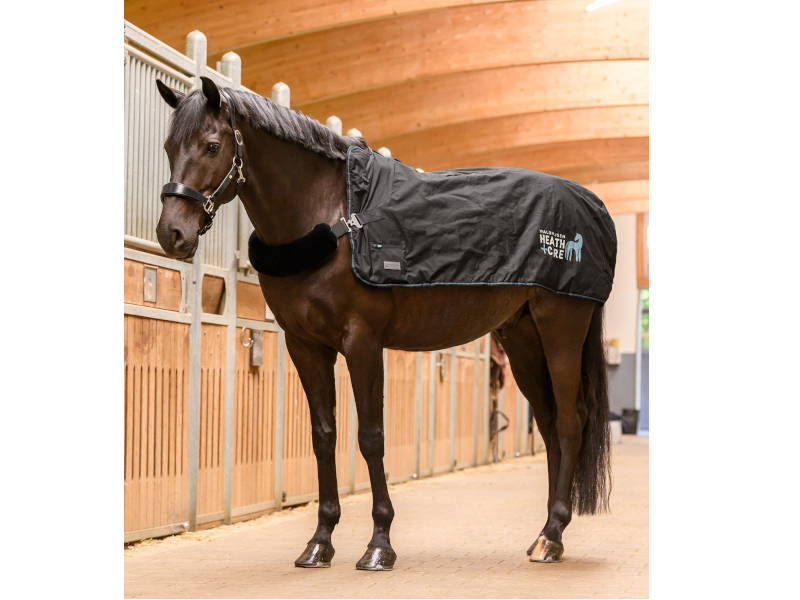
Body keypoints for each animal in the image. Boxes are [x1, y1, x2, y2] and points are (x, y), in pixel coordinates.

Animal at [153, 77, 612, 569]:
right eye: (169, 146)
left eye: (211, 145)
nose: (171, 234)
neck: (333, 218)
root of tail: (591, 205)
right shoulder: (305, 346)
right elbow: (323, 436)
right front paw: (319, 542)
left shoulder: (363, 343)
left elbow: (371, 437)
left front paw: (379, 544)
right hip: (523, 338)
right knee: (549, 424)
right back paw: (543, 534)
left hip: (561, 328)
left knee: (571, 421)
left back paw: (552, 536)